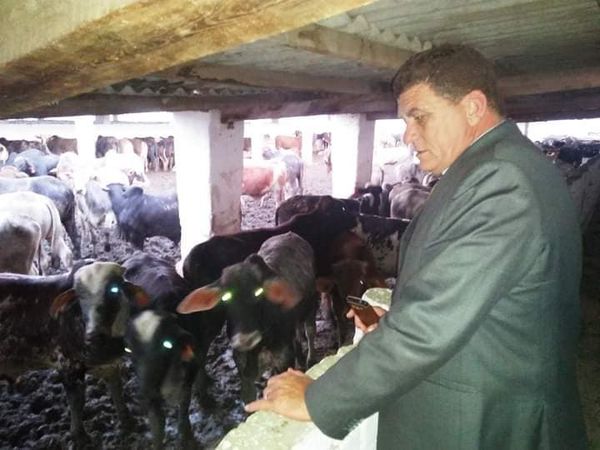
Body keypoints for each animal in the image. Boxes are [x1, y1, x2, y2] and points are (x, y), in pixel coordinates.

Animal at [0, 262, 149, 446]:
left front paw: (128, 420)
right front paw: (80, 436)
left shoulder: (107, 363)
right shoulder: (68, 365)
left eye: (114, 290)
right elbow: (77, 401)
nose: (93, 336)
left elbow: (116, 388)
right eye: (78, 297)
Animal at [178, 232, 318, 402]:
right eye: (225, 297)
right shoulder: (243, 372)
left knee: (310, 331)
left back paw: (309, 359)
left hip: (311, 305)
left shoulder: (283, 360)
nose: (246, 339)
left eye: (259, 291)